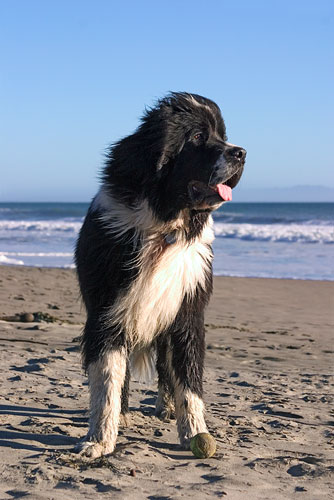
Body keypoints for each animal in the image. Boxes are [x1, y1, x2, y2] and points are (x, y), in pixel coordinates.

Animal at [75, 93, 245, 458]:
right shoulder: (108, 313)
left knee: (168, 368)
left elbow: (189, 379)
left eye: (222, 136)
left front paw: (195, 431)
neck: (165, 226)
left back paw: (166, 407)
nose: (240, 152)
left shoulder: (187, 312)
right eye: (197, 136)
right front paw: (99, 439)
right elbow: (107, 379)